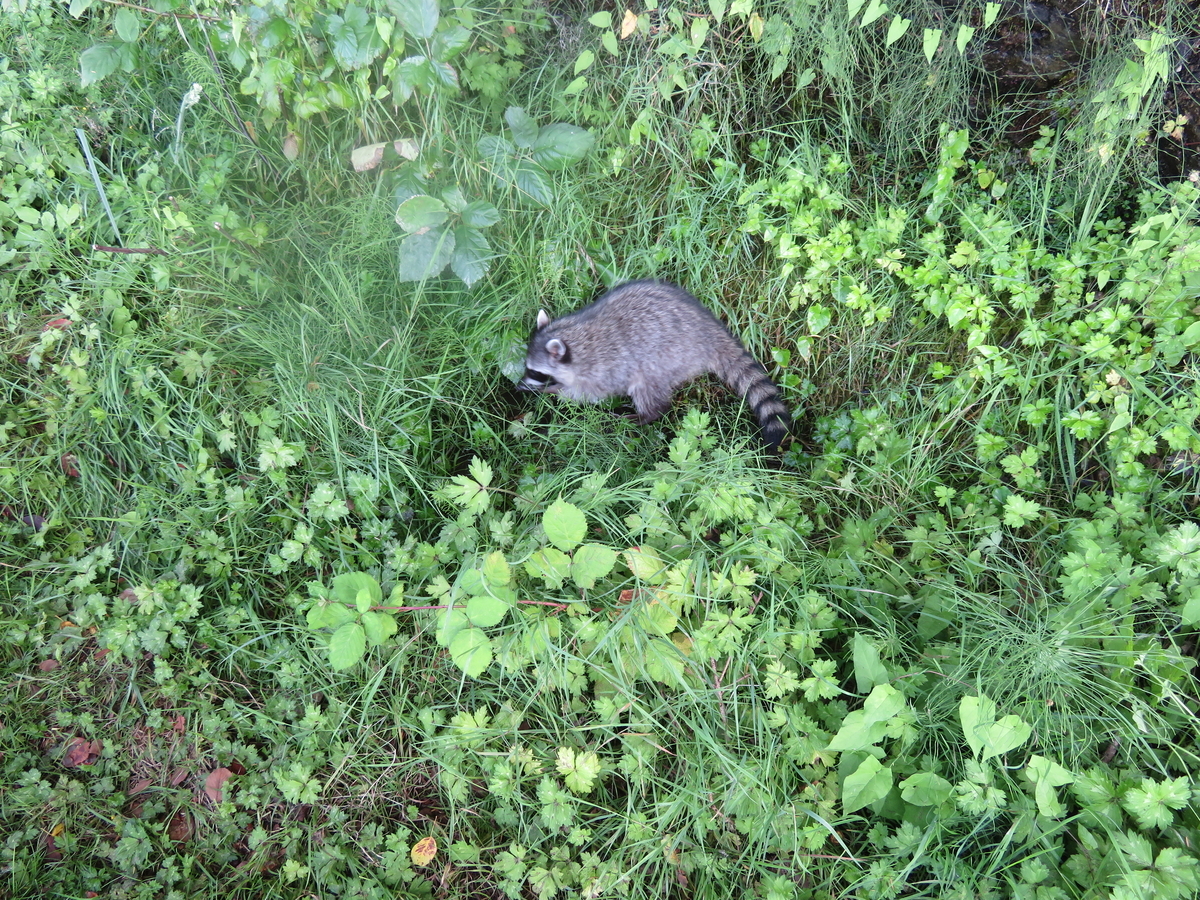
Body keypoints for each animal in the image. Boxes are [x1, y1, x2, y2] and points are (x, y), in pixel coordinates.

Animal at [518, 282, 787, 451]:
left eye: (535, 371)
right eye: (527, 368)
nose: (519, 387)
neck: (572, 337)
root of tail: (709, 331)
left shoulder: (605, 368)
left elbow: (591, 394)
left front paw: (554, 391)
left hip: (669, 357)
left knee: (647, 387)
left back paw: (645, 414)